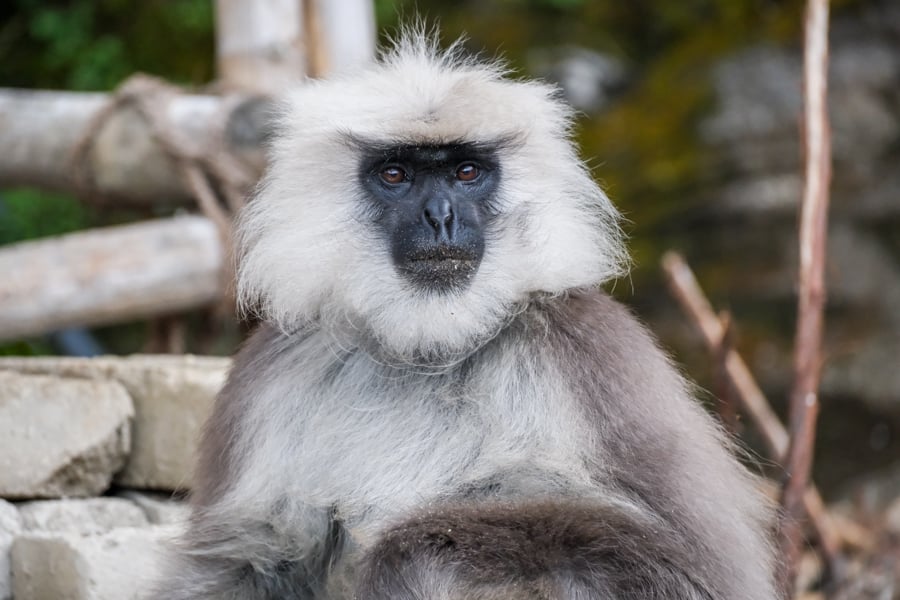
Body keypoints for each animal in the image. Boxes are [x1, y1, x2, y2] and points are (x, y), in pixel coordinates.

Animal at [158, 31, 776, 600]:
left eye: (466, 173)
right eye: (396, 175)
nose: (440, 217)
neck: (427, 352)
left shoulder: (582, 350)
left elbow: (697, 572)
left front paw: (406, 550)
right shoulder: (279, 362)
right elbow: (244, 562)